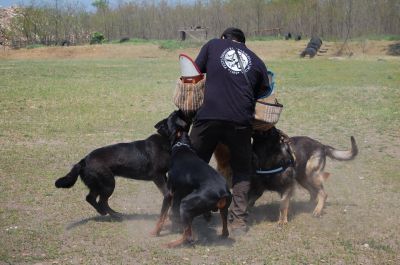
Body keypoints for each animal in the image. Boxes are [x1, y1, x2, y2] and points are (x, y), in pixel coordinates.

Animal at [54, 113, 184, 219]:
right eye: (173, 116)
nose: (178, 110)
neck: (165, 139)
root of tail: (83, 161)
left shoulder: (164, 175)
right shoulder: (157, 176)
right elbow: (166, 192)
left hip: (98, 185)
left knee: (90, 198)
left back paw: (105, 212)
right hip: (108, 184)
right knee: (101, 201)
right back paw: (114, 215)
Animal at [150, 110, 231, 246]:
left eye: (169, 118)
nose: (177, 110)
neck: (182, 146)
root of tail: (223, 192)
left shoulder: (169, 193)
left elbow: (162, 216)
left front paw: (155, 232)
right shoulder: (179, 194)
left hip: (186, 205)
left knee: (188, 236)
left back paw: (171, 244)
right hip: (222, 210)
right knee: (225, 231)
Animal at [214, 127, 358, 224]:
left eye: (270, 130)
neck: (267, 158)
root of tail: (322, 146)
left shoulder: (287, 187)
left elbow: (283, 204)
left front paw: (282, 221)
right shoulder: (257, 189)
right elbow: (248, 202)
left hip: (309, 174)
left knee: (323, 193)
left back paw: (317, 210)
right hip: (302, 177)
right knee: (313, 192)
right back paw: (308, 205)